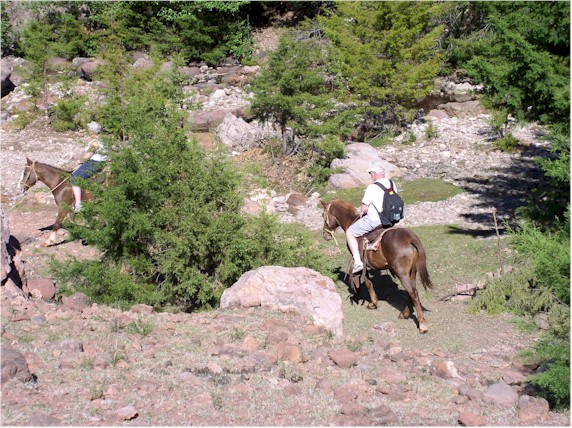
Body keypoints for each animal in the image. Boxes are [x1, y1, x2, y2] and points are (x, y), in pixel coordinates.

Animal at [321, 199, 434, 333]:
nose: (325, 235)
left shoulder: (361, 261)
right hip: (412, 272)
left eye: (323, 215)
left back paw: (422, 324)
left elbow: (367, 282)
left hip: (402, 273)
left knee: (413, 293)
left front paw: (373, 303)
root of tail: (410, 238)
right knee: (412, 291)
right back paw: (405, 313)